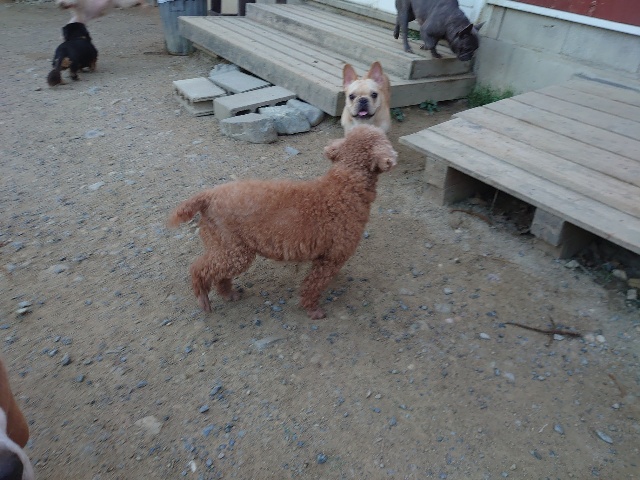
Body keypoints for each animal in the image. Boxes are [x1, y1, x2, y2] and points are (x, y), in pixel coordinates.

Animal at [168, 125, 397, 320]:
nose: (393, 159)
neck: (347, 184)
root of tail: (208, 196)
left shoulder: (325, 256)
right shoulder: (332, 256)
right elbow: (313, 285)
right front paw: (313, 310)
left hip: (225, 247)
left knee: (219, 274)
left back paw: (229, 294)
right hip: (234, 250)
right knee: (198, 268)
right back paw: (203, 298)